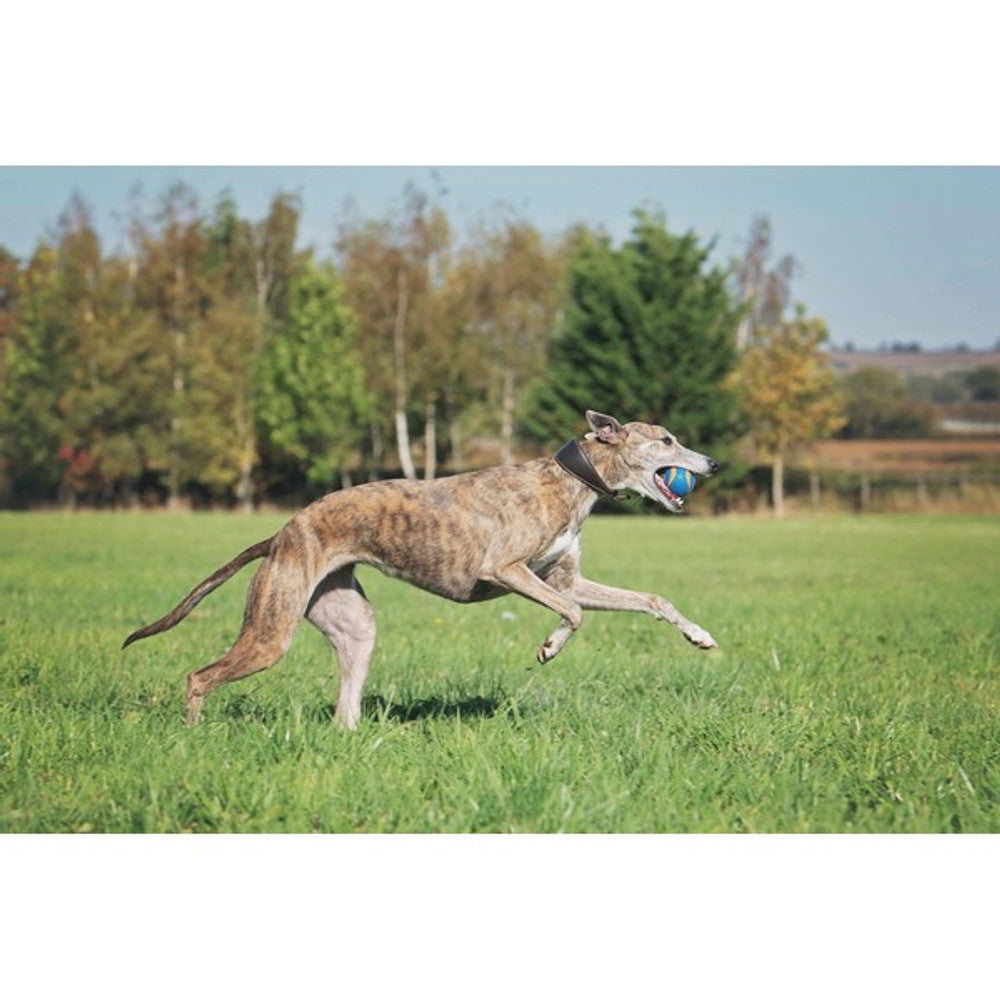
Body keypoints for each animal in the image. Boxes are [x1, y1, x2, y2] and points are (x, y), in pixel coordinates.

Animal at [124, 410, 720, 727]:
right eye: (666, 440)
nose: (713, 463)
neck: (571, 481)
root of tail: (279, 536)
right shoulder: (507, 570)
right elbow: (573, 612)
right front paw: (549, 647)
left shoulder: (562, 576)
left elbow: (650, 599)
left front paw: (699, 635)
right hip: (272, 631)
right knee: (199, 675)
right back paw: (195, 733)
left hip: (351, 623)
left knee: (345, 704)